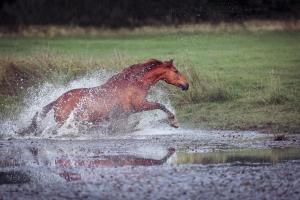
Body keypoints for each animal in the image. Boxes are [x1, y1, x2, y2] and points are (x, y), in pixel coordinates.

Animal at [19, 59, 189, 134]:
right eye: (175, 71)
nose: (186, 85)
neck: (135, 83)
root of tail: (57, 101)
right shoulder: (139, 105)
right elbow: (160, 105)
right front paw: (173, 121)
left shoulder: (126, 113)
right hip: (65, 122)